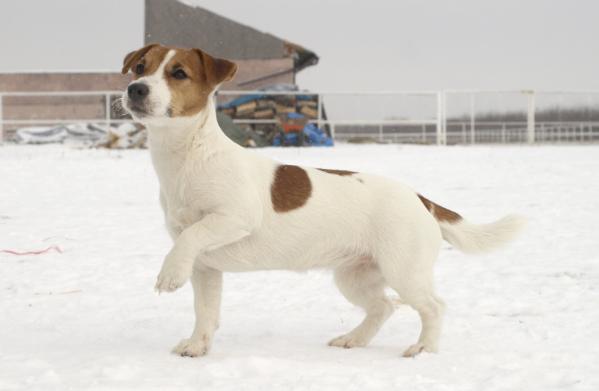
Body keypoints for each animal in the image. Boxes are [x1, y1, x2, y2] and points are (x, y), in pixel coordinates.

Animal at [120, 44, 524, 360]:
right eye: (141, 67)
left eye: (178, 73)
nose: (135, 89)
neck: (188, 157)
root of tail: (420, 199)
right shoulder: (205, 267)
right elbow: (205, 311)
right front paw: (196, 347)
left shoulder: (235, 217)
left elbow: (190, 239)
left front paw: (168, 275)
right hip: (354, 277)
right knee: (383, 307)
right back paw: (353, 339)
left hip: (404, 271)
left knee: (433, 307)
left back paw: (423, 349)